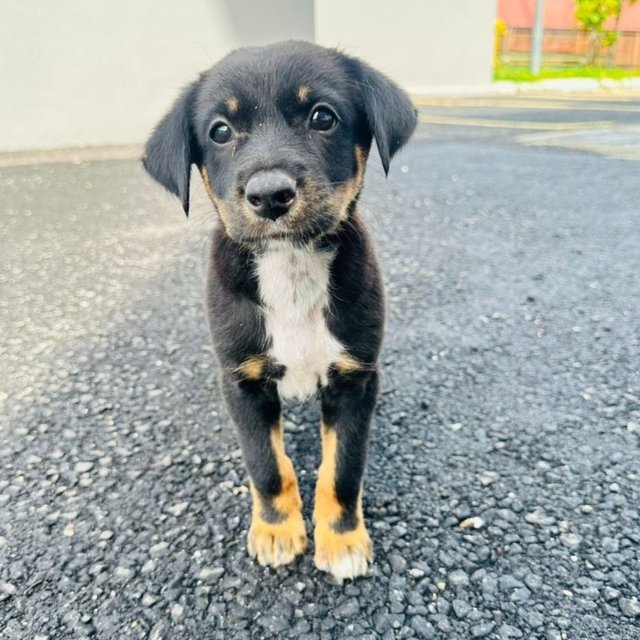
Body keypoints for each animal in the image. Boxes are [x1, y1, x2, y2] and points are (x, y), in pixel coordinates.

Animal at [143, 40, 418, 580]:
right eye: (220, 131)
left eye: (323, 117)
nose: (269, 195)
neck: (291, 268)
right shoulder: (243, 381)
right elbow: (267, 466)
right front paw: (275, 531)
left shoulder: (354, 379)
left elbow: (343, 470)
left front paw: (342, 539)